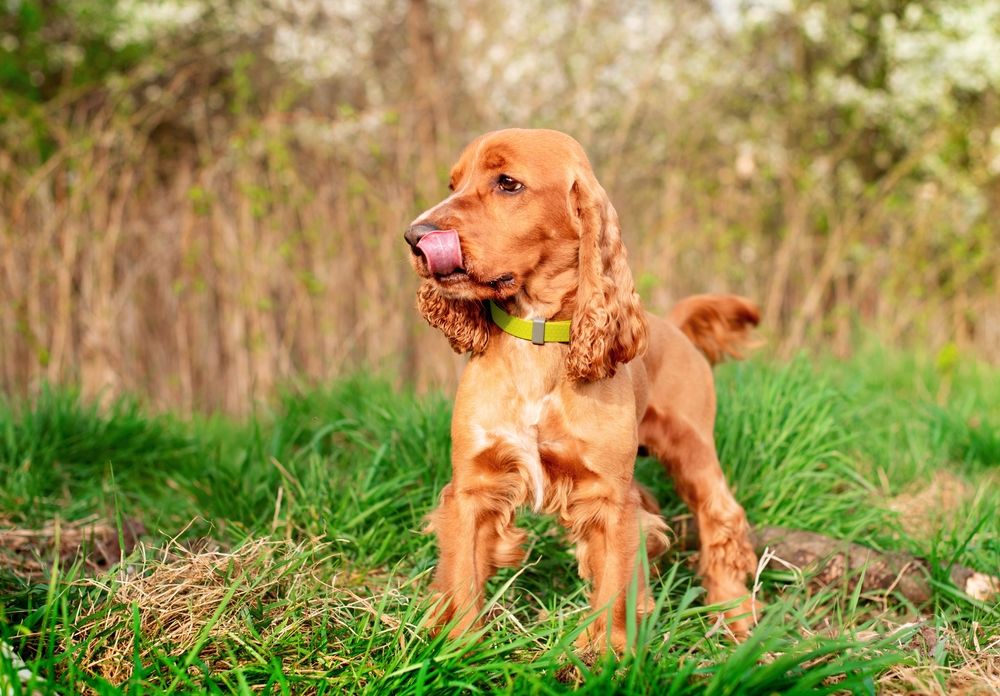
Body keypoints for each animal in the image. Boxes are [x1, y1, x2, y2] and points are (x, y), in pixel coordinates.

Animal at [402, 128, 752, 648]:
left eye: (508, 183)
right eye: (453, 183)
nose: (414, 236)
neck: (537, 334)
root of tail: (675, 326)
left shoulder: (609, 497)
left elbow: (611, 590)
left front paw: (604, 655)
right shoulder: (473, 485)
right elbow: (463, 576)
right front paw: (459, 648)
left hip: (693, 449)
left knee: (722, 519)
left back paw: (736, 617)